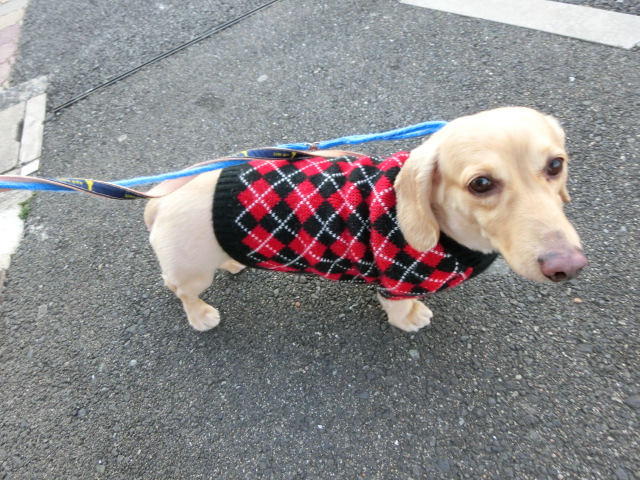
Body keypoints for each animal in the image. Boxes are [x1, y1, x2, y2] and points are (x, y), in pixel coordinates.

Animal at [144, 107, 587, 332]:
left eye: (556, 165)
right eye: (480, 184)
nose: (567, 267)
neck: (444, 229)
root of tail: (159, 197)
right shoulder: (395, 284)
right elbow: (400, 308)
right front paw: (412, 318)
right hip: (190, 272)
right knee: (181, 290)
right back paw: (201, 315)